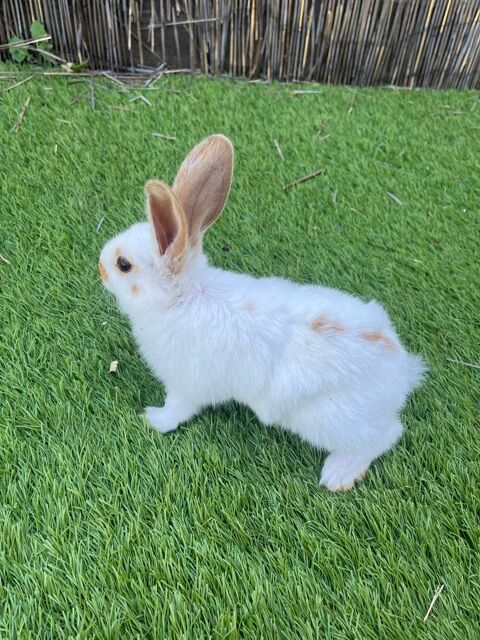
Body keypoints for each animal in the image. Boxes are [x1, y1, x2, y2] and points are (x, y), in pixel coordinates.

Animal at [99, 134, 424, 491]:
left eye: (123, 264)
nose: (99, 265)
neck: (183, 298)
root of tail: (402, 371)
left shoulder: (185, 386)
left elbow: (176, 412)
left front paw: (151, 419)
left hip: (331, 420)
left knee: (386, 436)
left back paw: (337, 475)